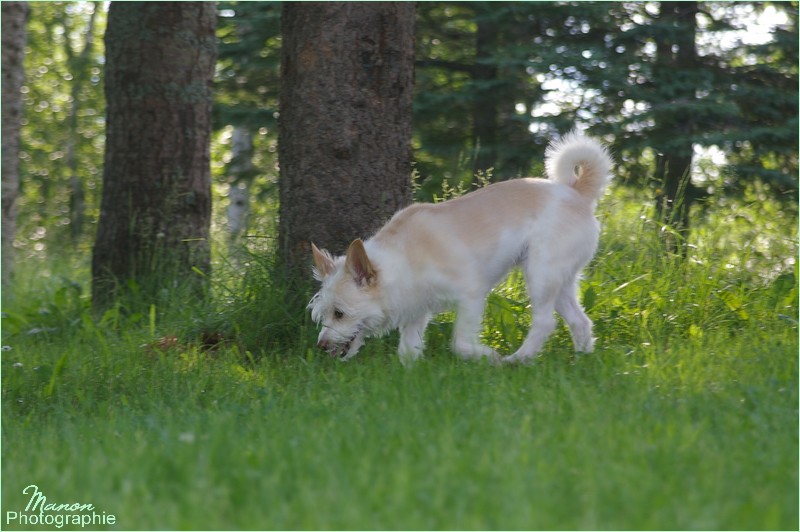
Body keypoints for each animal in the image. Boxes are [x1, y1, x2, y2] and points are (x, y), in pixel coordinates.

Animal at [306, 131, 612, 364]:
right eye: (324, 313)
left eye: (339, 313)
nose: (321, 345)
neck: (403, 256)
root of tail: (575, 192)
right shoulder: (416, 311)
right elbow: (408, 350)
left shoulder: (471, 297)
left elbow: (460, 343)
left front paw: (487, 356)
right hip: (559, 281)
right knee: (580, 321)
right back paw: (582, 360)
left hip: (541, 274)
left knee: (545, 322)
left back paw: (517, 359)